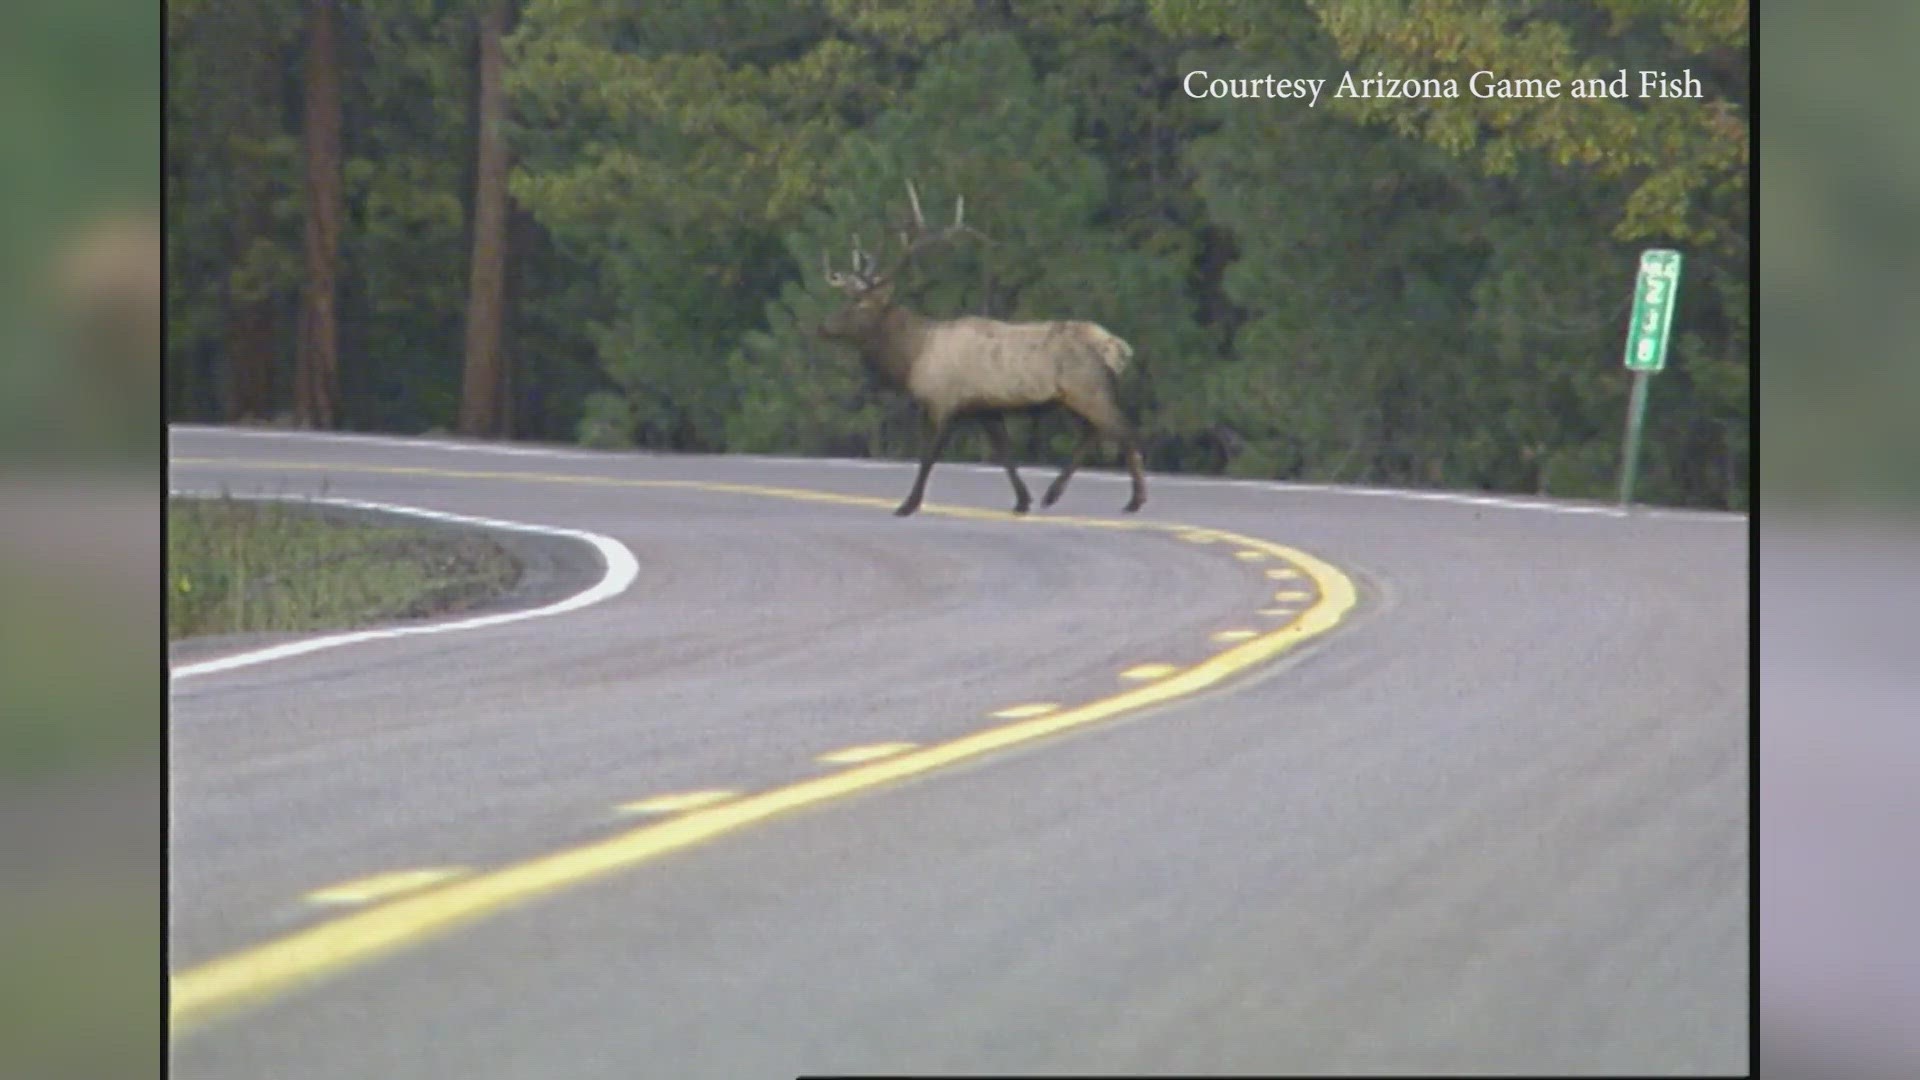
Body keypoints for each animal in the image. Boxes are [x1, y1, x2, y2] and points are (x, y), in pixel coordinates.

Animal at [817, 180, 1144, 518]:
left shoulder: (941, 402)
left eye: (859, 304)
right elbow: (1005, 453)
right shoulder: (985, 408)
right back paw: (1052, 494)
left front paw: (907, 504)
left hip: (1088, 388)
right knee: (1093, 432)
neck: (912, 356)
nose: (823, 326)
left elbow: (928, 456)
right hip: (1077, 395)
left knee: (1125, 430)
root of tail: (1120, 348)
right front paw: (1022, 501)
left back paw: (1134, 500)